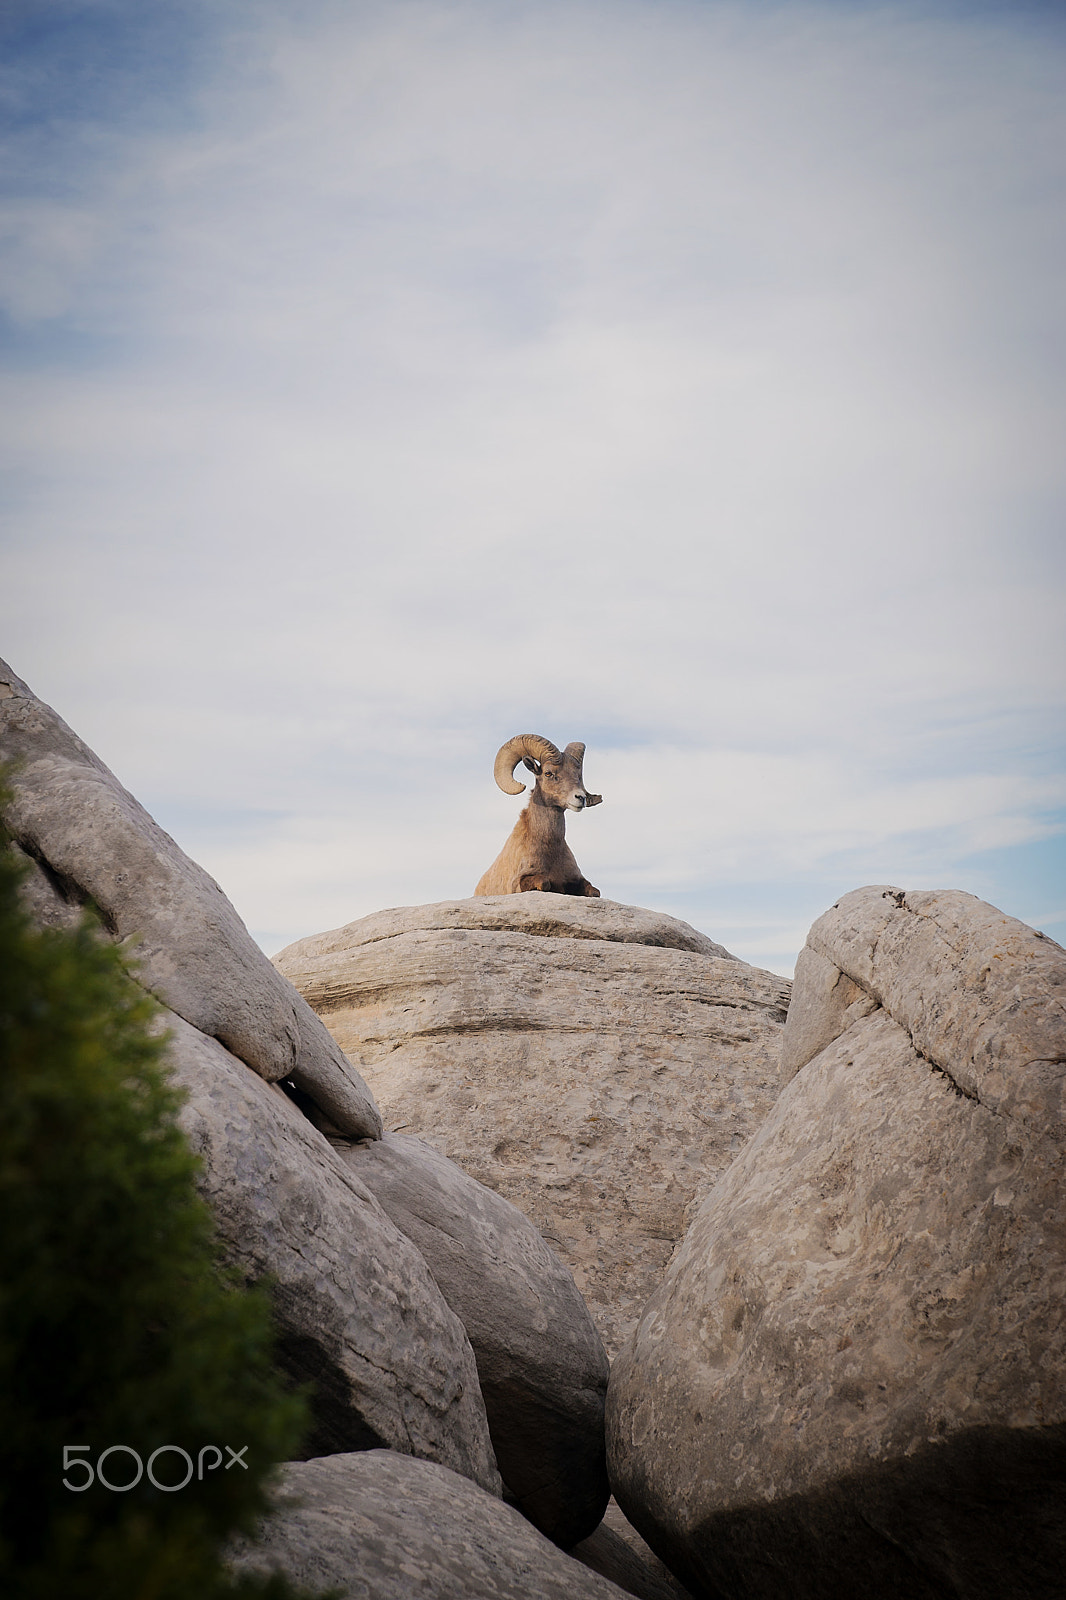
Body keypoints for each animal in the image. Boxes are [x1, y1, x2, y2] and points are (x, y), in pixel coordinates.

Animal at [475, 734, 603, 897]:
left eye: (577, 776)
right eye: (548, 773)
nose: (580, 798)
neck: (550, 847)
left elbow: (595, 891)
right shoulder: (520, 882)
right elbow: (544, 882)